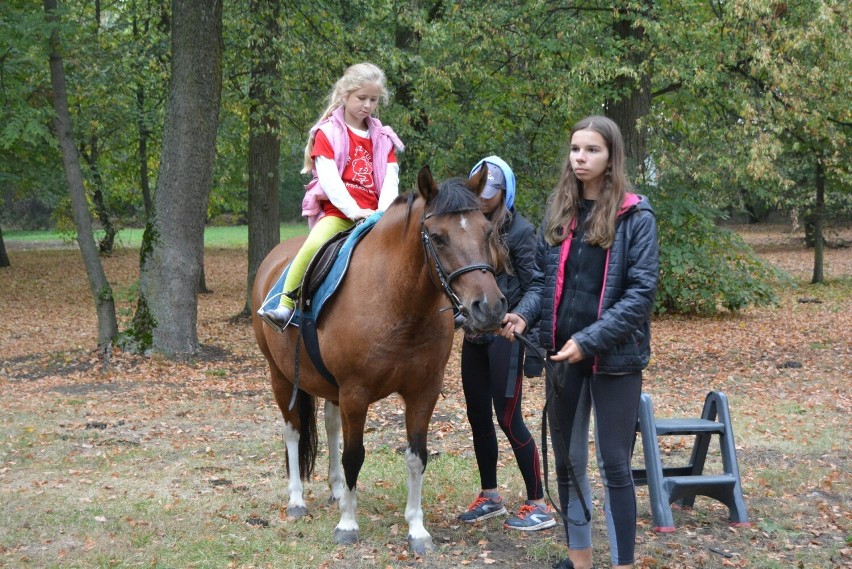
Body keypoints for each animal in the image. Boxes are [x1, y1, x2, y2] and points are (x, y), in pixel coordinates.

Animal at [251, 166, 506, 552]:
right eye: (438, 237)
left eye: (487, 231)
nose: (489, 307)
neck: (398, 303)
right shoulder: (355, 393)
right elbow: (354, 455)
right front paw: (347, 524)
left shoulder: (422, 392)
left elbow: (416, 457)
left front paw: (417, 529)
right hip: (280, 375)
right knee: (292, 431)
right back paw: (296, 500)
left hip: (329, 386)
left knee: (330, 426)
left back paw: (337, 490)